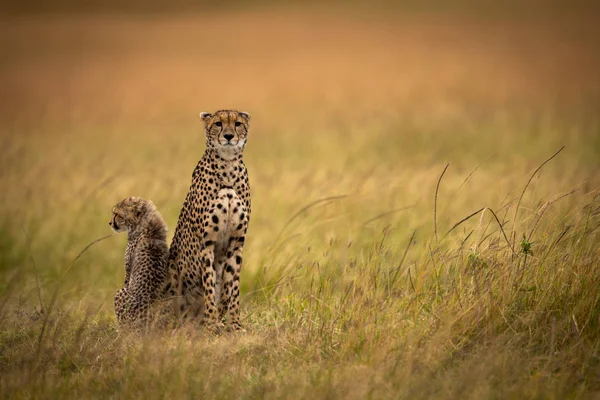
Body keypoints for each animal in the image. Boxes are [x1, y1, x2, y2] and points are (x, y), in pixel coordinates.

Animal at [164, 109, 251, 332]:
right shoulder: (207, 242)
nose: (228, 136)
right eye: (218, 123)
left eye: (237, 124)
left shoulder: (236, 242)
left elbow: (232, 288)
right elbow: (209, 285)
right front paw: (211, 324)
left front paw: (235, 324)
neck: (228, 166)